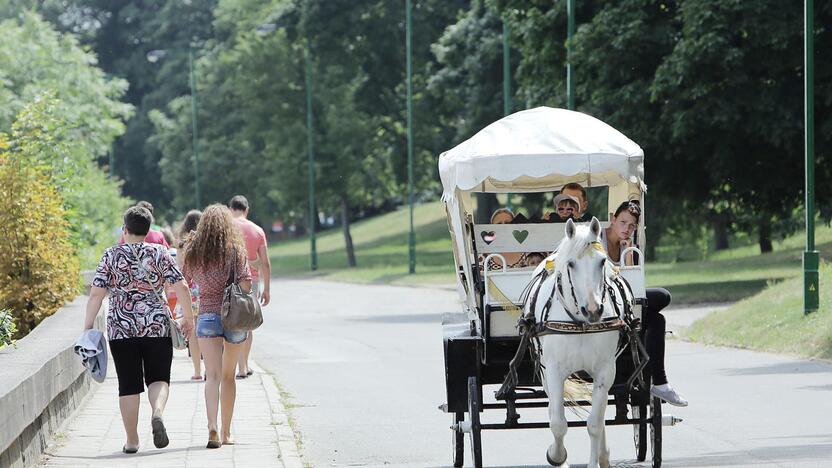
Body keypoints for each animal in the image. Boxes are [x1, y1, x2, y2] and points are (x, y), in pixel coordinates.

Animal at [524, 218, 620, 468]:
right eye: (571, 264)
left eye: (602, 261)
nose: (594, 310)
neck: (580, 323)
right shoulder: (554, 370)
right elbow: (558, 423)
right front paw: (557, 456)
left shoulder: (605, 370)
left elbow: (595, 423)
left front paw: (596, 461)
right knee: (553, 409)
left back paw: (604, 455)